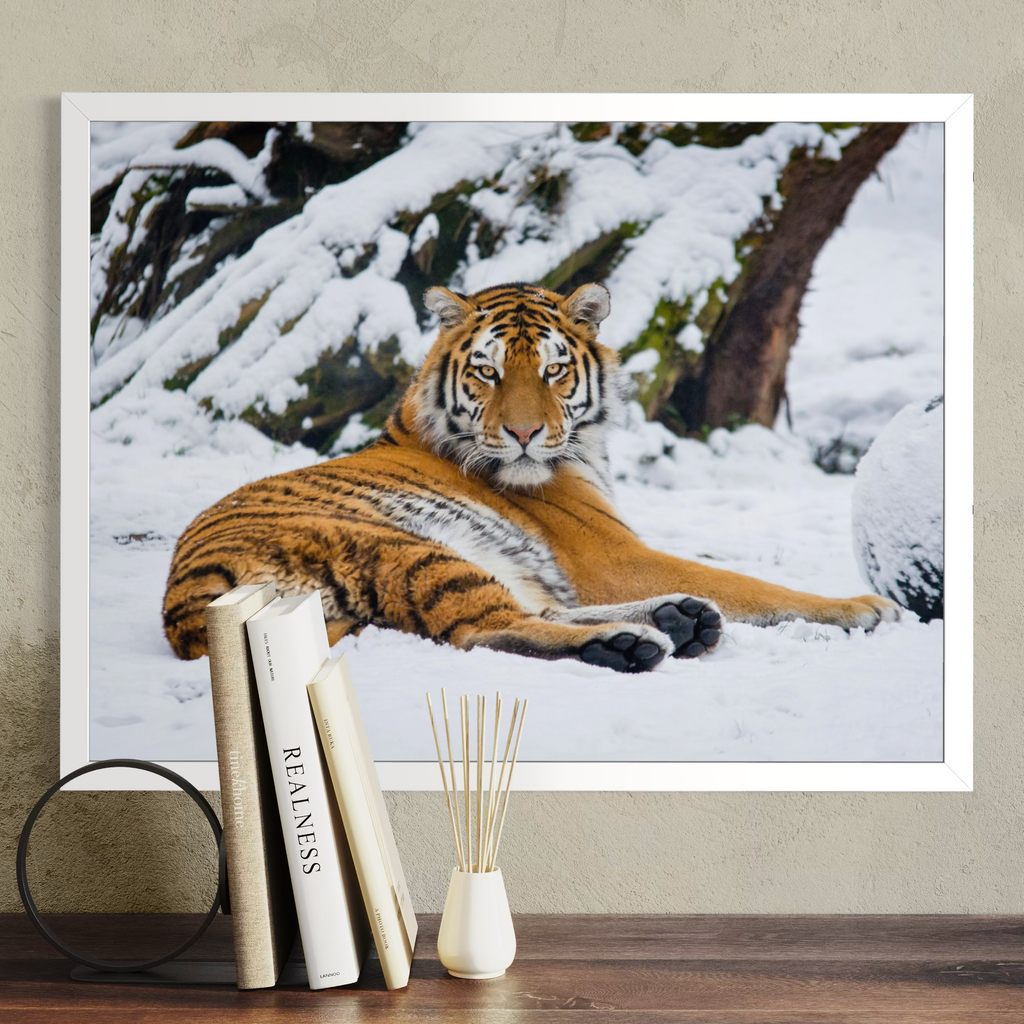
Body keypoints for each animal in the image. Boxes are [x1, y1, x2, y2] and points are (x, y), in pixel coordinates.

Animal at [163, 282, 898, 673]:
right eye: (487, 371)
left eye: (553, 370)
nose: (522, 433)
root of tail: (186, 613)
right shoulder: (614, 555)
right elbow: (754, 584)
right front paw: (863, 606)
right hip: (402, 548)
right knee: (480, 630)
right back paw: (630, 641)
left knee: (529, 608)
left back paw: (679, 619)